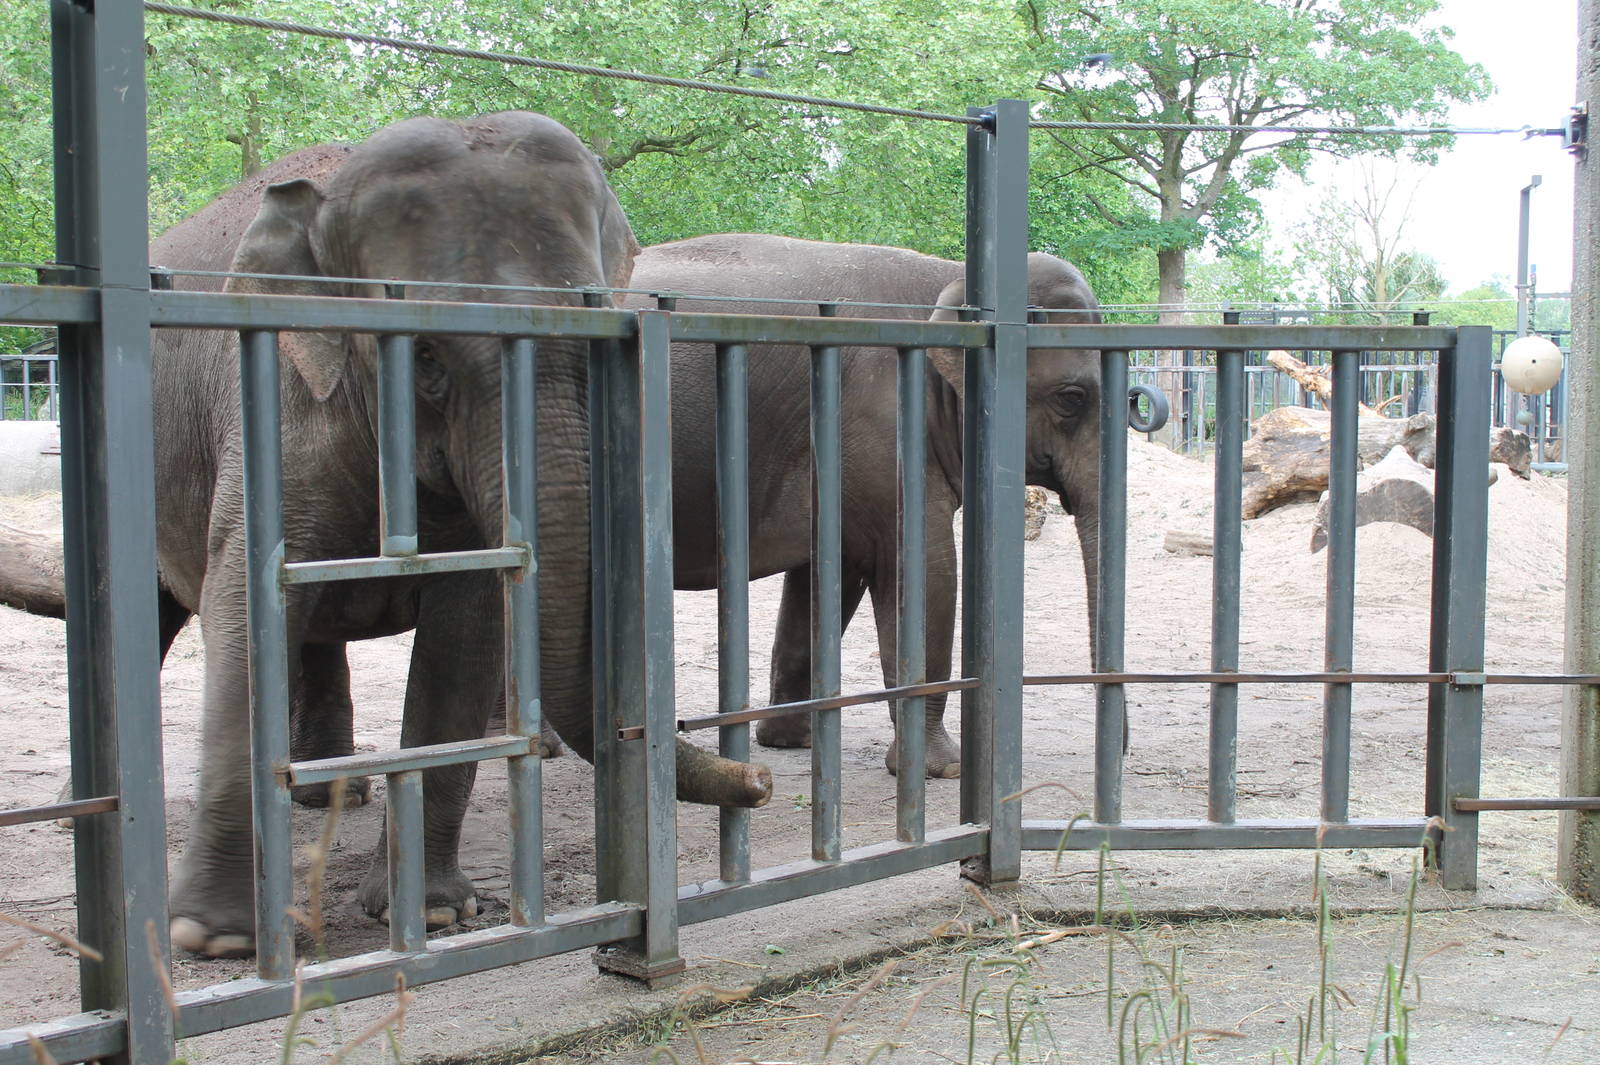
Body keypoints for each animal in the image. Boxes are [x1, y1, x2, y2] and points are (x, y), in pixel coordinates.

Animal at [133, 113, 770, 960]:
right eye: (428, 355)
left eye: (602, 338)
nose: (762, 780)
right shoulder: (272, 405)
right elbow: (244, 610)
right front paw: (212, 940)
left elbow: (465, 631)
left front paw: (436, 915)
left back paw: (332, 796)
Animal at [622, 234, 1103, 779]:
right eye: (1072, 397)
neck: (951, 277)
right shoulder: (883, 426)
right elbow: (925, 572)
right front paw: (942, 770)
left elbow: (823, 581)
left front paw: (789, 742)